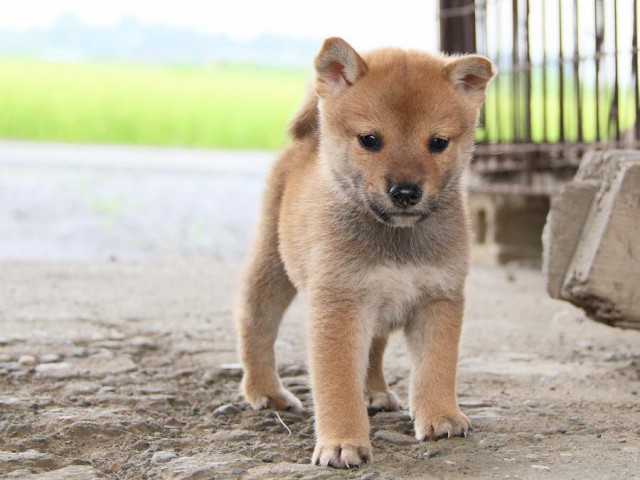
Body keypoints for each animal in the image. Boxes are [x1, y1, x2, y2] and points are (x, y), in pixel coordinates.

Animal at [235, 38, 496, 468]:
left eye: (438, 142)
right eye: (370, 140)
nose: (405, 192)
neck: (397, 239)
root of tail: (307, 145)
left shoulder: (438, 299)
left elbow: (436, 366)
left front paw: (440, 416)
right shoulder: (339, 305)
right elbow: (337, 383)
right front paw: (342, 442)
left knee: (374, 350)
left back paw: (374, 392)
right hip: (271, 269)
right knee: (256, 325)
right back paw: (266, 391)